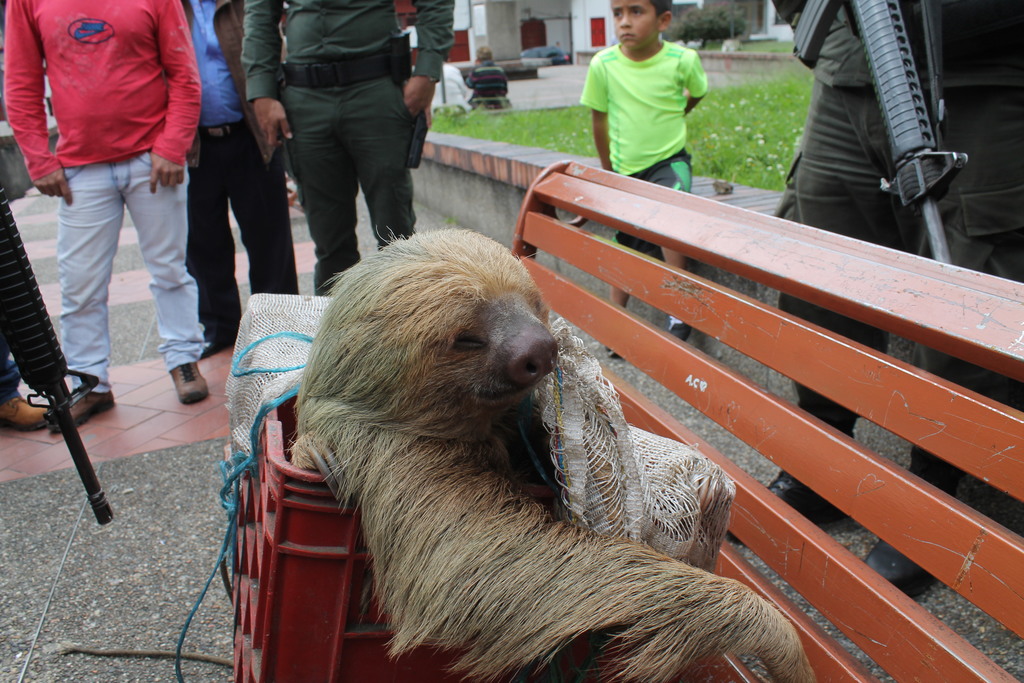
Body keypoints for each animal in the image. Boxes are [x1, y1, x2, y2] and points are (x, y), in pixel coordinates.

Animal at [293, 228, 814, 682]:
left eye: (532, 304)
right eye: (467, 338)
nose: (540, 347)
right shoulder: (403, 456)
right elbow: (484, 564)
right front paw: (778, 637)